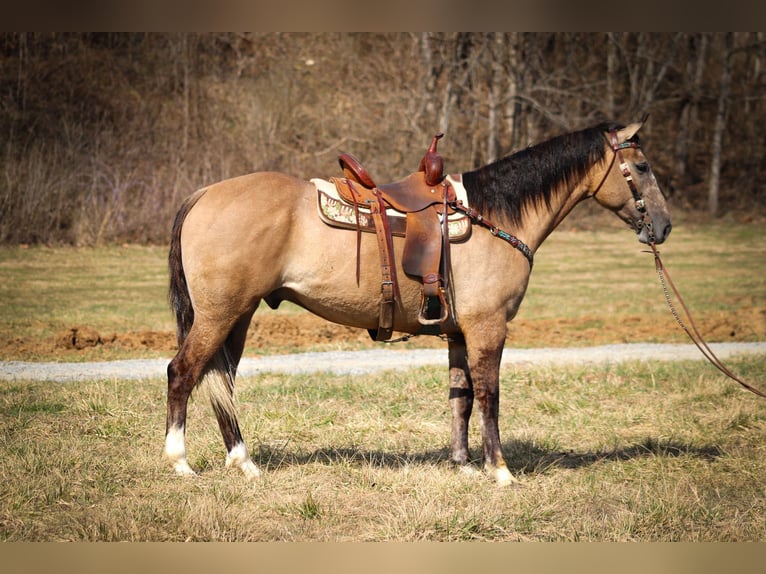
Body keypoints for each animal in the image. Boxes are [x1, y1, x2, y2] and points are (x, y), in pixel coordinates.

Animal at [164, 120, 672, 486]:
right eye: (643, 166)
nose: (664, 226)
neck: (496, 216)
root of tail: (204, 194)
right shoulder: (488, 328)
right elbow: (488, 395)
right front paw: (500, 470)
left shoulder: (459, 334)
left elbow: (460, 396)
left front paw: (463, 464)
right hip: (219, 314)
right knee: (183, 372)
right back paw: (180, 461)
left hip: (239, 315)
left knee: (221, 381)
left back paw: (243, 462)